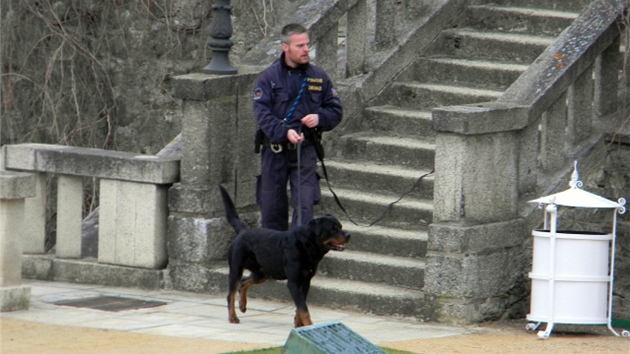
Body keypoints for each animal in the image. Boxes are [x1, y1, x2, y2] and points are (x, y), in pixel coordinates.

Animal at [221, 187, 350, 328]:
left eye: (341, 227)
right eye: (333, 229)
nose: (348, 234)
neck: (307, 246)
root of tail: (243, 231)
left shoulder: (305, 280)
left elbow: (300, 306)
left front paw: (298, 324)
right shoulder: (294, 282)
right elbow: (304, 308)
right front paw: (309, 325)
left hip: (262, 272)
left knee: (244, 282)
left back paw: (242, 305)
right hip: (236, 269)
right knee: (231, 294)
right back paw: (233, 317)